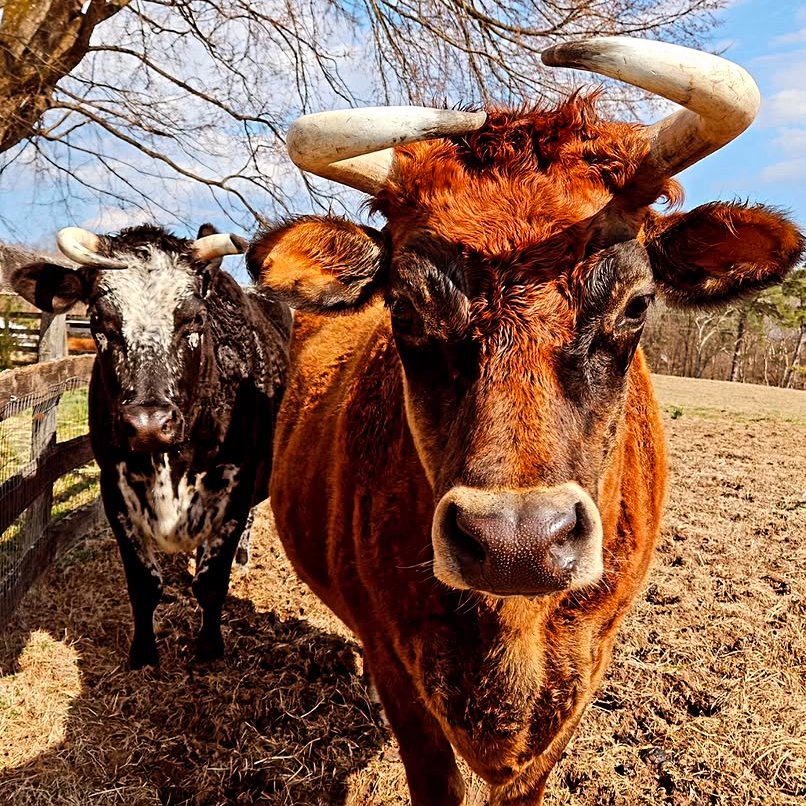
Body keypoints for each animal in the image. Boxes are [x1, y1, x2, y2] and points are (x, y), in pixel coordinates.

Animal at [12, 224, 291, 668]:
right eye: (99, 323)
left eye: (194, 319)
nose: (148, 425)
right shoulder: (115, 489)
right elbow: (144, 584)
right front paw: (143, 653)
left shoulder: (237, 485)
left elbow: (211, 582)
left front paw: (209, 649)